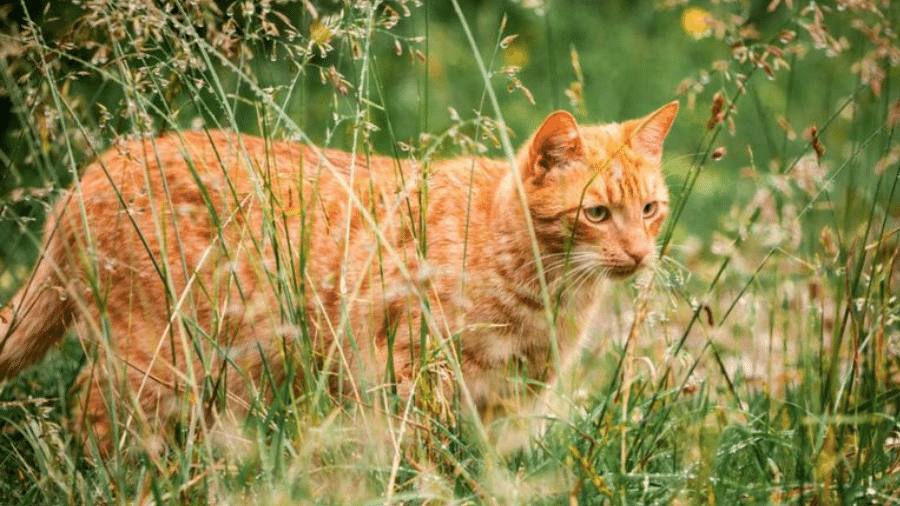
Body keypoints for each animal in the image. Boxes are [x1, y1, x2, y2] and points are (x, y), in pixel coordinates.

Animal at [0, 102, 676, 450]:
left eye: (650, 209)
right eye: (596, 214)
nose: (640, 255)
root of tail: (90, 171)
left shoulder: (508, 399)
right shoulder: (413, 375)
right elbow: (429, 460)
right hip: (160, 355)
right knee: (90, 410)